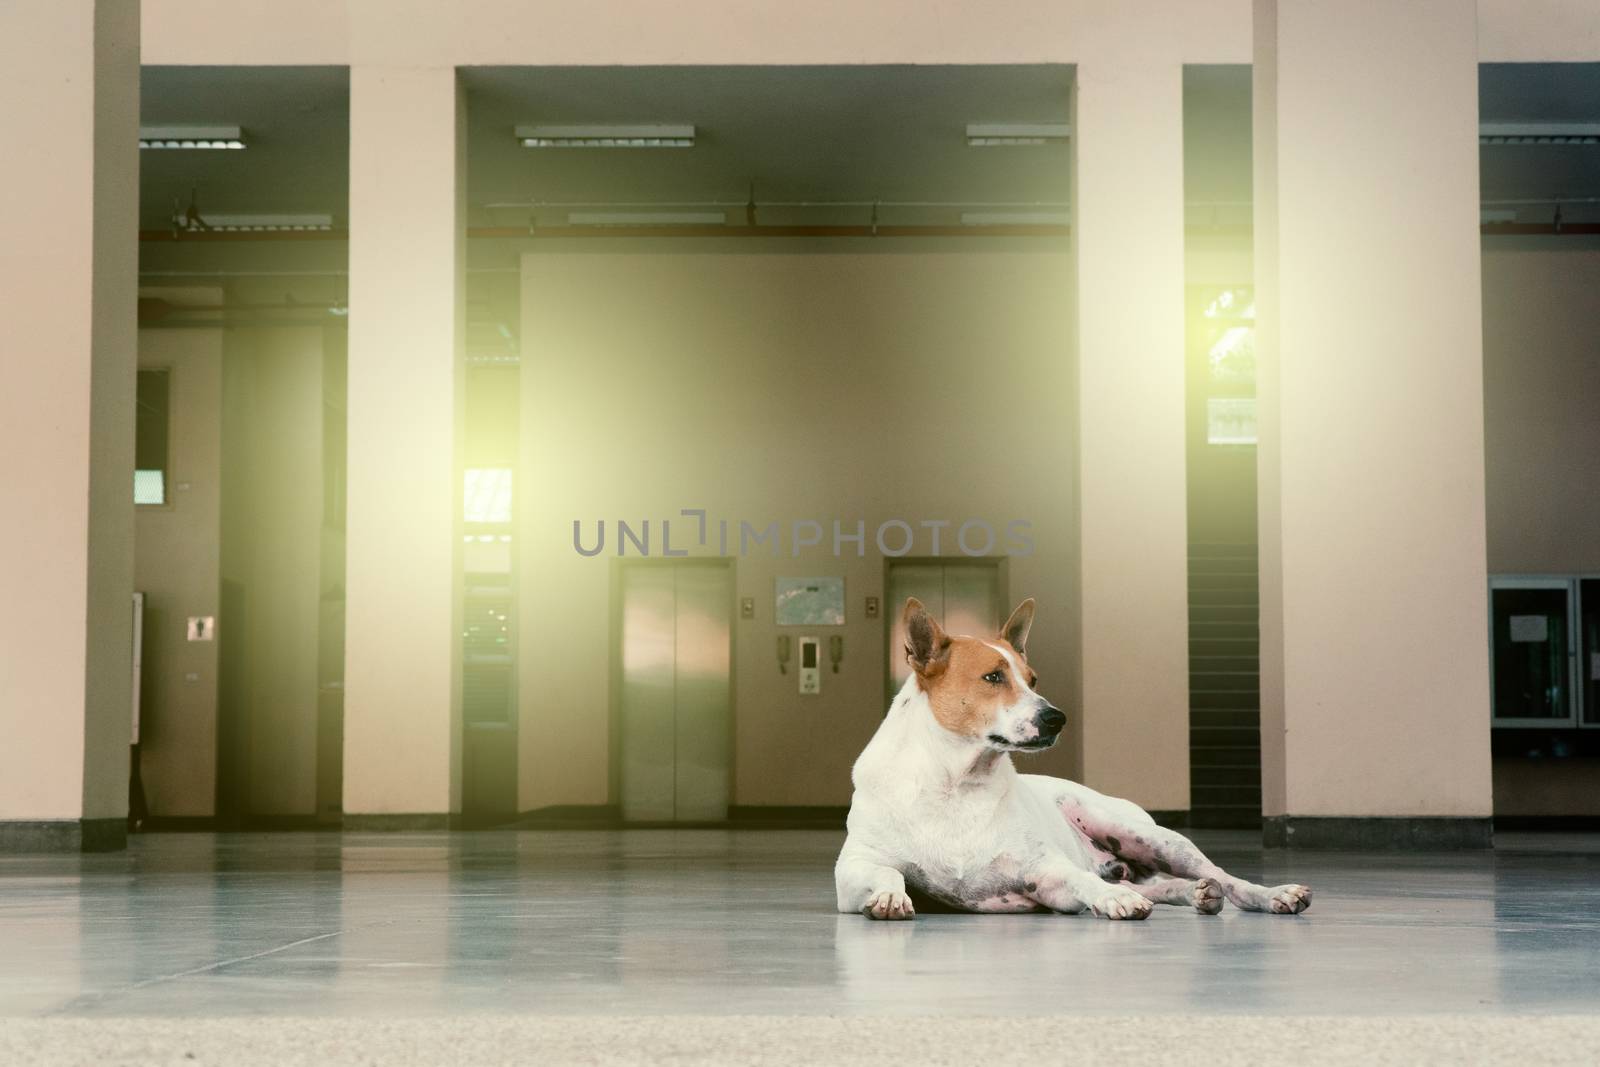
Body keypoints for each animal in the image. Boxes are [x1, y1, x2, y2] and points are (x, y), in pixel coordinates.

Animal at [838, 598, 1312, 921]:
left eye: (1032, 680)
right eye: (993, 677)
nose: (1056, 718)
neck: (955, 782)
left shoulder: (1046, 875)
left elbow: (1078, 880)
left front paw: (1113, 899)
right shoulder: (853, 870)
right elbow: (887, 874)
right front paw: (888, 896)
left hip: (1147, 836)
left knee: (1226, 877)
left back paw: (1270, 893)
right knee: (1166, 884)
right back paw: (1195, 892)